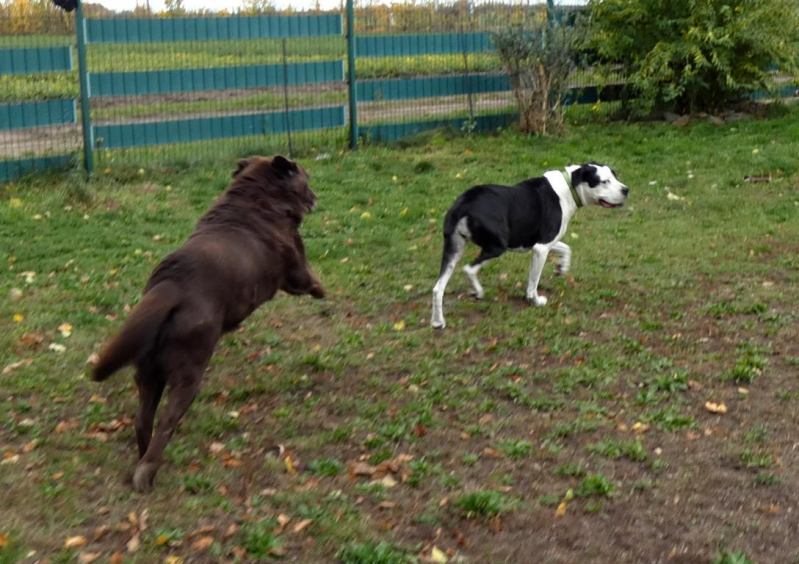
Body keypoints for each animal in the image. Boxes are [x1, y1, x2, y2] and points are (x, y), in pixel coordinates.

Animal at [92, 155, 325, 491]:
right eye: (305, 178)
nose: (316, 197)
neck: (259, 199)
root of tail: (171, 285)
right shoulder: (295, 267)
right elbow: (308, 277)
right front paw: (322, 290)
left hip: (149, 373)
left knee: (143, 420)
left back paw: (141, 462)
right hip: (189, 371)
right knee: (166, 422)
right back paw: (147, 472)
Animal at [431, 163, 628, 329]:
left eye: (615, 176)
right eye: (604, 181)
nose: (626, 190)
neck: (569, 187)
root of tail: (464, 203)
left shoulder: (544, 241)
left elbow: (566, 248)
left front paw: (561, 268)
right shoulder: (541, 248)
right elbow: (533, 282)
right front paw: (534, 300)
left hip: (453, 250)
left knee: (437, 288)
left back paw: (438, 322)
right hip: (496, 247)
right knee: (469, 269)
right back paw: (477, 291)